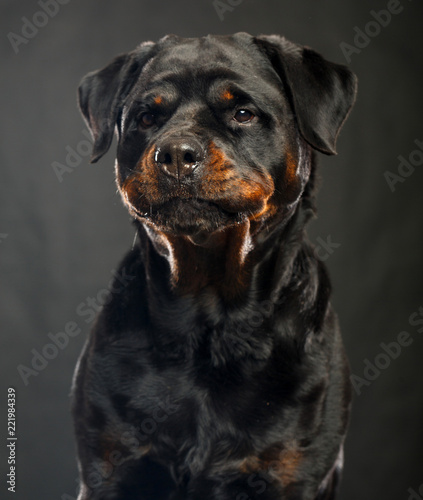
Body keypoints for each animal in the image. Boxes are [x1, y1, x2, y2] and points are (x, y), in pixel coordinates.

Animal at [73, 32, 358, 500]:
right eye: (147, 117)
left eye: (243, 113)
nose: (175, 153)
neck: (211, 326)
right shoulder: (110, 468)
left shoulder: (290, 474)